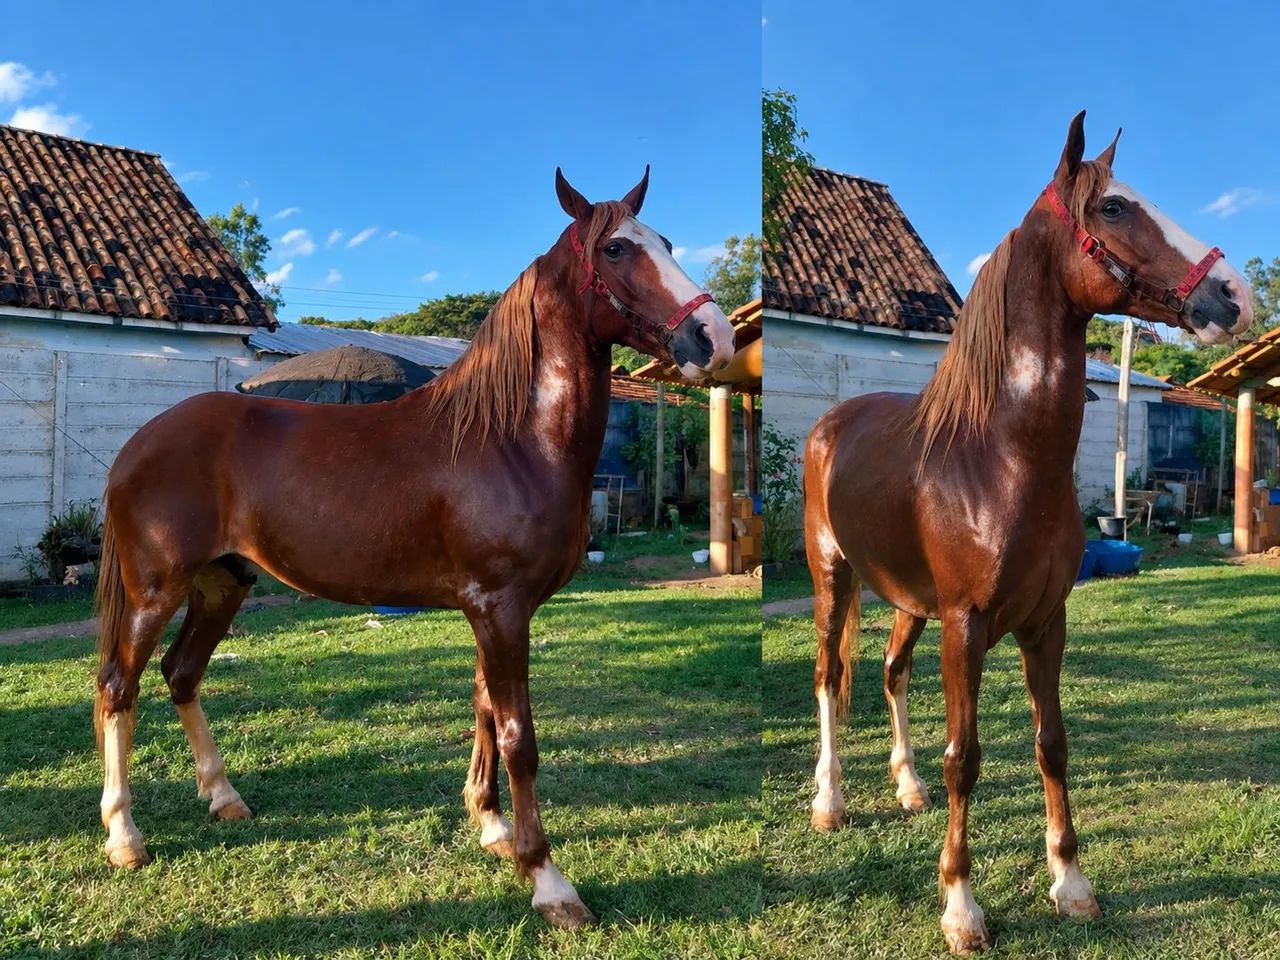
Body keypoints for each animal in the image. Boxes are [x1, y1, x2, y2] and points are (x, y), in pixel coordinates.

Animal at [92, 167, 736, 928]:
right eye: (614, 248)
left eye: (664, 241)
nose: (714, 336)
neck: (511, 438)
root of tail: (138, 444)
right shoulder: (498, 607)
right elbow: (518, 736)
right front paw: (547, 879)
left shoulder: (497, 612)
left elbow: (484, 707)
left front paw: (491, 827)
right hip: (154, 592)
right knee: (118, 688)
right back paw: (124, 836)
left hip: (223, 584)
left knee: (182, 675)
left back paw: (224, 799)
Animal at [802, 112, 1252, 954]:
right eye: (1113, 206)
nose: (1234, 293)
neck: (1002, 457)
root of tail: (831, 425)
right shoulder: (968, 626)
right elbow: (966, 757)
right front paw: (960, 906)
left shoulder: (1046, 623)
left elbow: (1053, 744)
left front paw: (1071, 883)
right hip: (834, 579)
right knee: (828, 677)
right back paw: (830, 801)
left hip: (909, 603)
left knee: (889, 673)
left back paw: (905, 785)